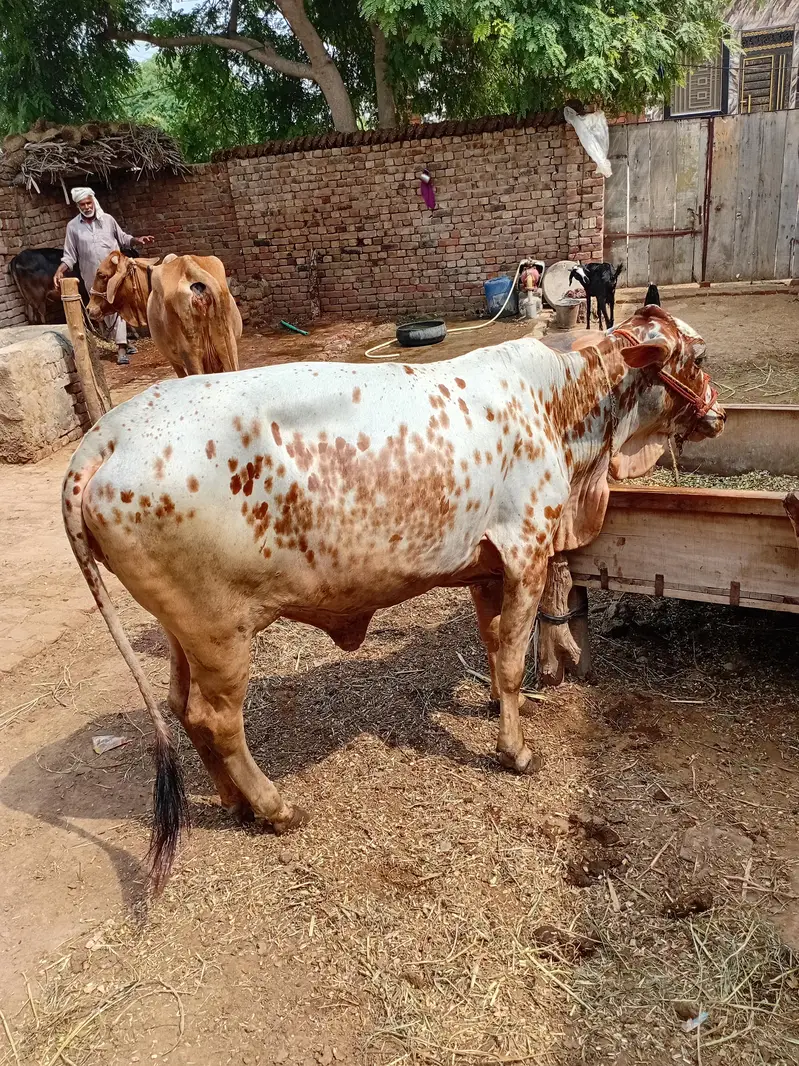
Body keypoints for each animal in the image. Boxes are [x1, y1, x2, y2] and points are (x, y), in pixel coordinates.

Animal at [62, 303, 724, 889]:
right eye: (698, 356)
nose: (718, 416)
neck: (559, 403)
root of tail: (105, 438)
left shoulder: (487, 571)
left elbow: (493, 648)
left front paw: (492, 707)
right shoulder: (526, 554)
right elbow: (514, 663)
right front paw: (515, 750)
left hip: (184, 631)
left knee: (182, 707)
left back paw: (232, 801)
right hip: (221, 631)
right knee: (216, 719)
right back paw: (275, 807)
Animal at [88, 251, 242, 377]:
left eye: (101, 275)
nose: (89, 309)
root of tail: (190, 269)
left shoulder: (173, 359)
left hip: (191, 355)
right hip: (228, 344)